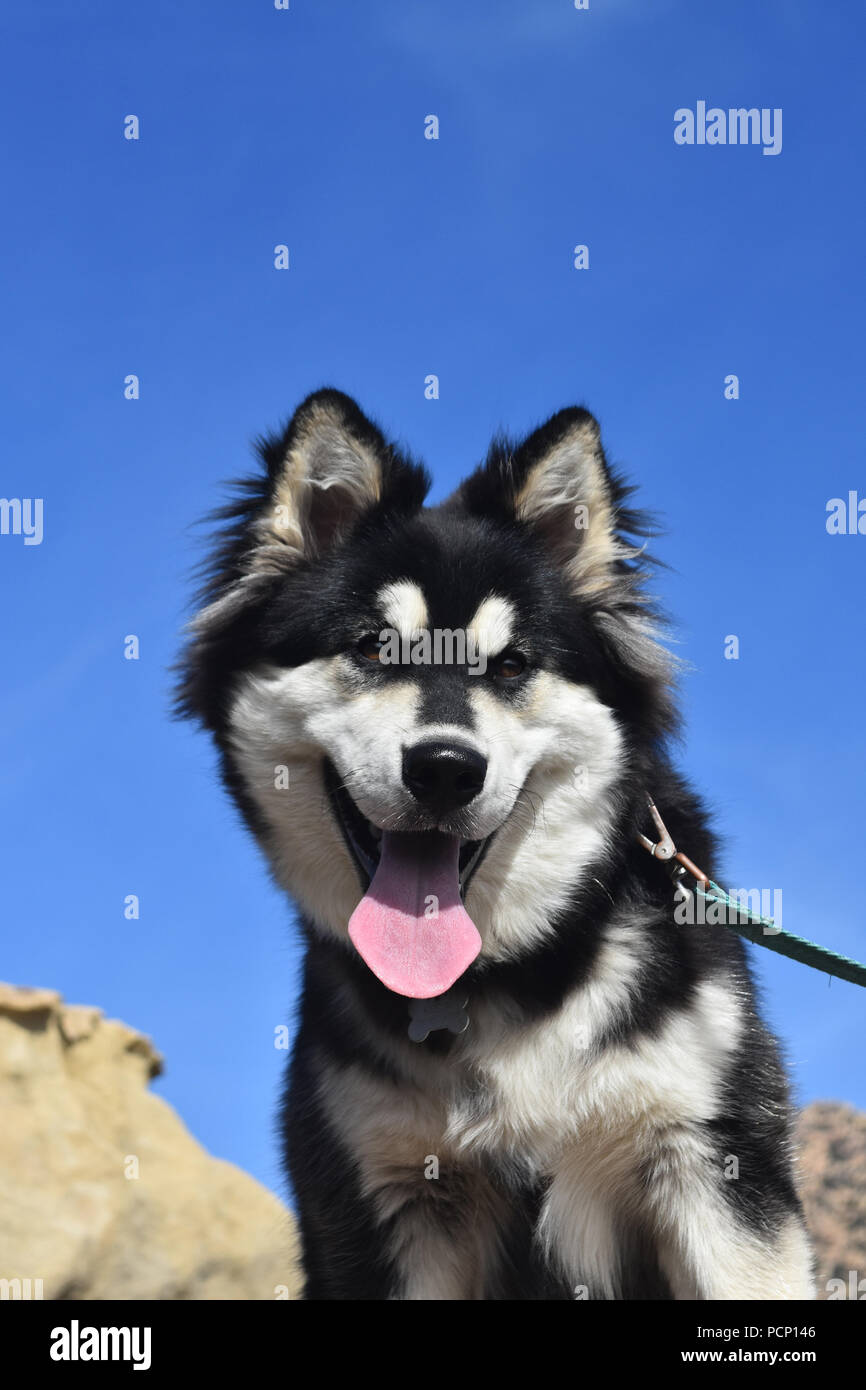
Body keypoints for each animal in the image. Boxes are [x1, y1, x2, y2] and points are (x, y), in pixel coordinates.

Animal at [179, 389, 817, 1301]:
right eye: (371, 646)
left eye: (512, 664)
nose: (446, 769)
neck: (502, 981)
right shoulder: (387, 1196)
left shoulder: (714, 1159)